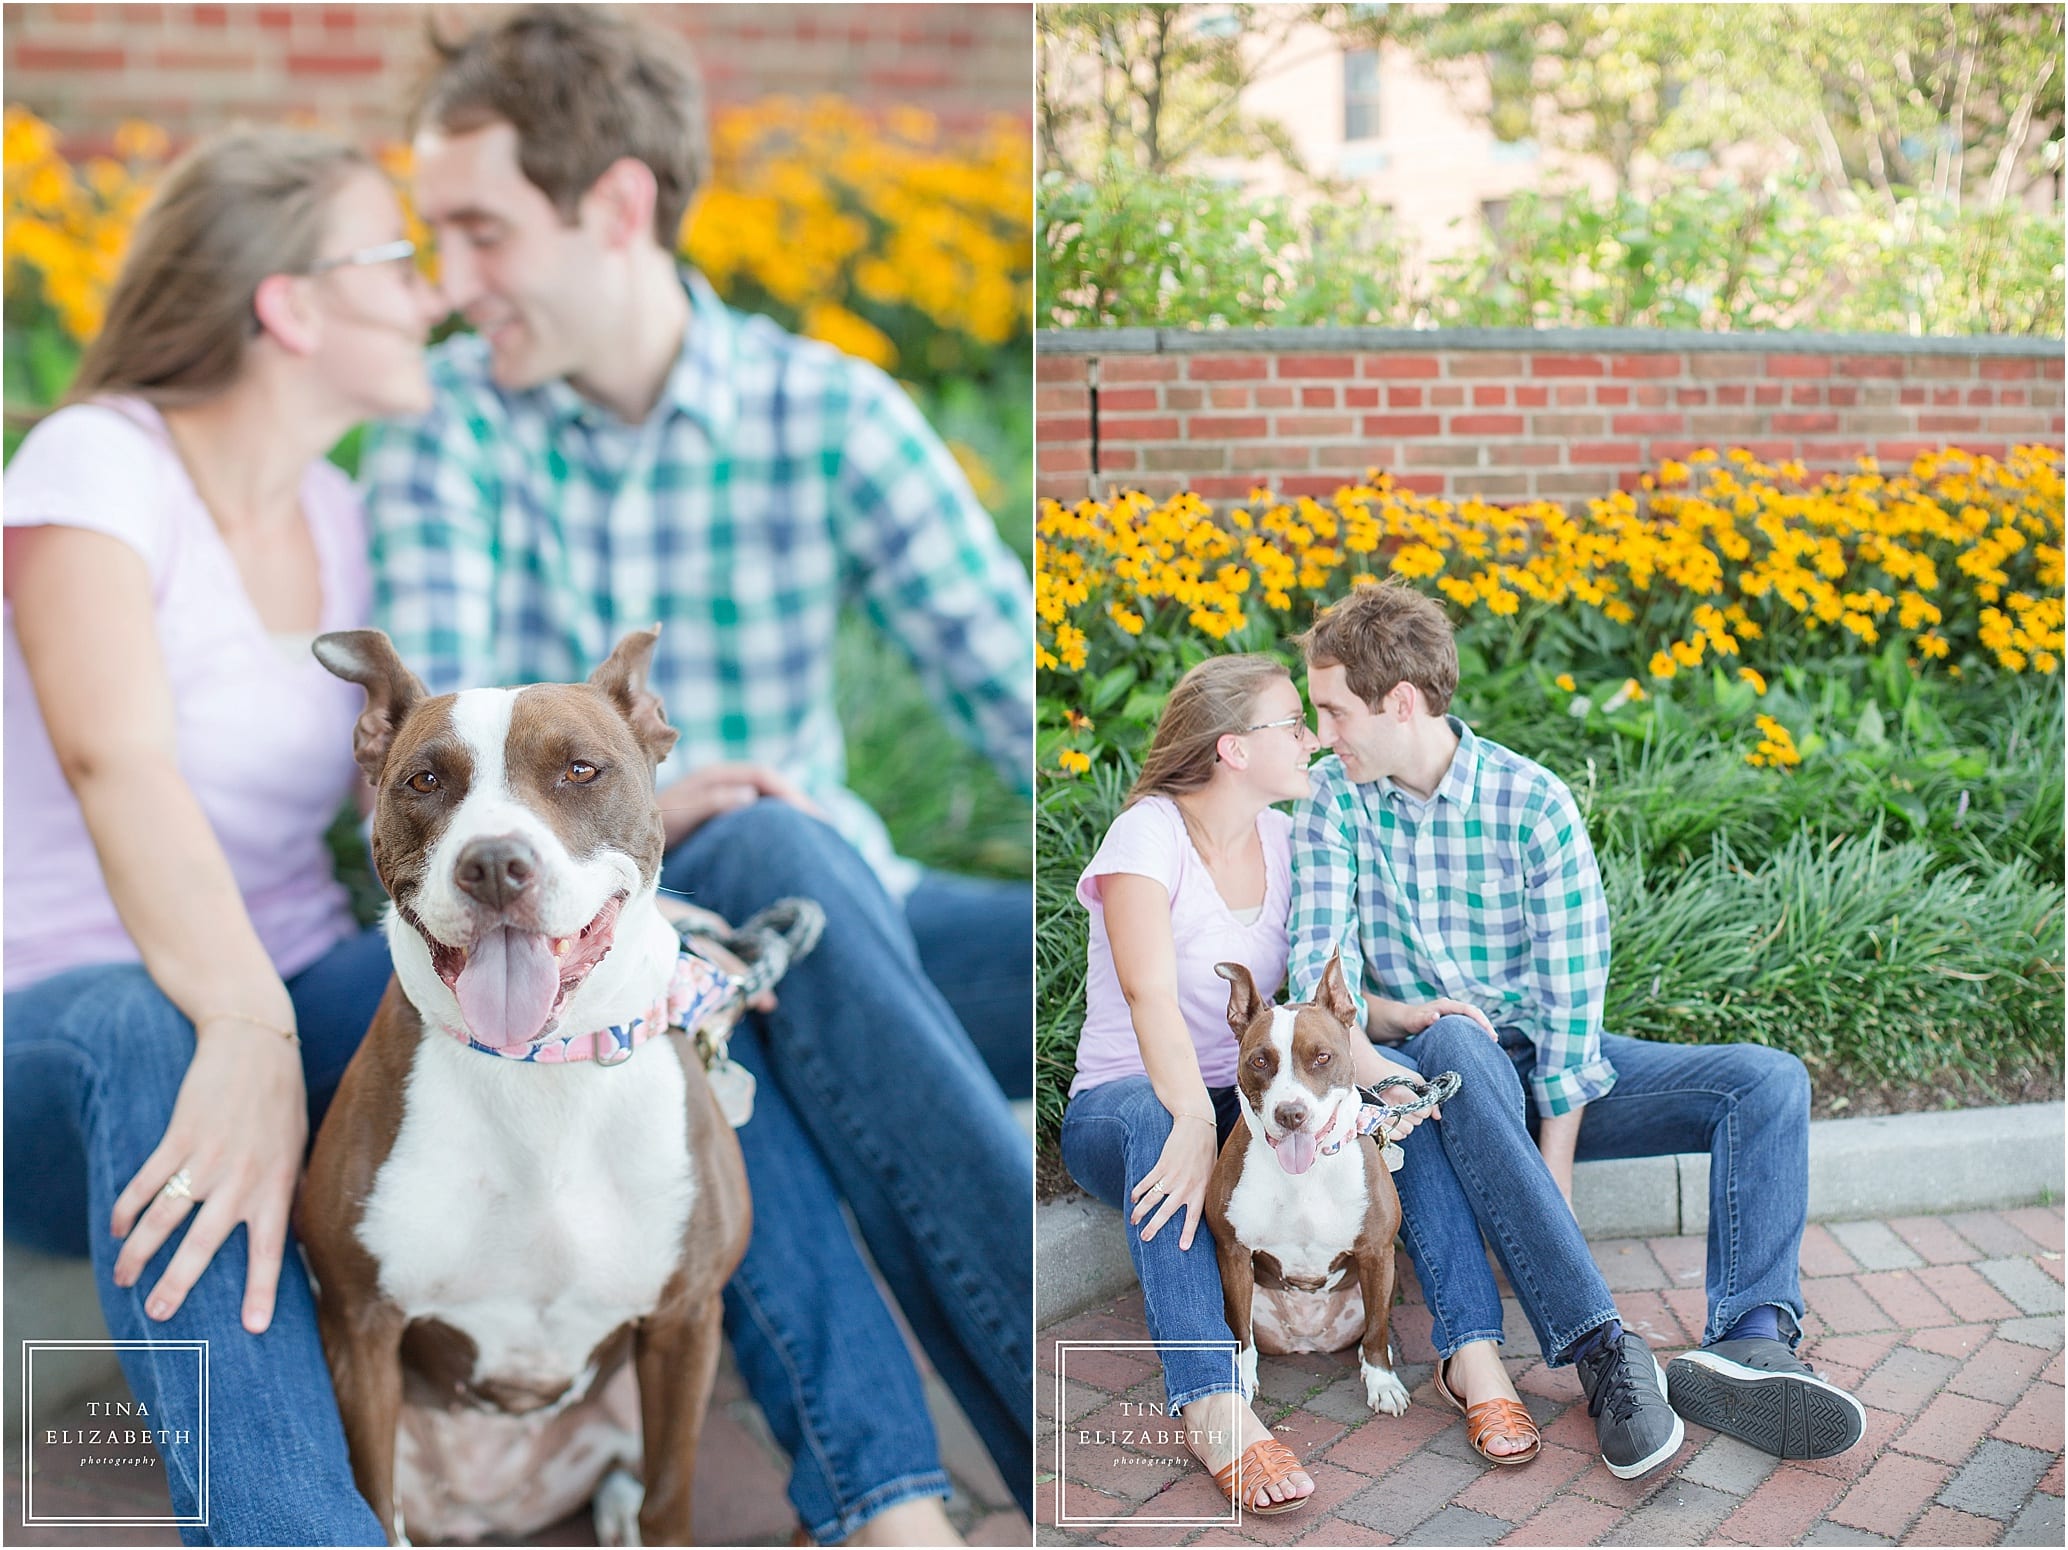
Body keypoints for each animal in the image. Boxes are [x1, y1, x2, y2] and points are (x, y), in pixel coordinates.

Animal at [299, 624, 752, 1545]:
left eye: (580, 769)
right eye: (424, 780)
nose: (496, 865)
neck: (540, 1072)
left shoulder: (687, 1320)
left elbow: (671, 1496)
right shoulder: (361, 1327)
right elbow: (372, 1495)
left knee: (628, 1478)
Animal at [1207, 967, 1414, 1430]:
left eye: (1322, 1057)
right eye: (1259, 1061)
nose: (1290, 1113)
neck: (1304, 1174)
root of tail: (1306, 1338)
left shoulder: (1377, 1252)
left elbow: (1377, 1328)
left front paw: (1382, 1382)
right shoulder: (1233, 1251)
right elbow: (1240, 1333)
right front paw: (1241, 1381)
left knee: (1373, 1326)